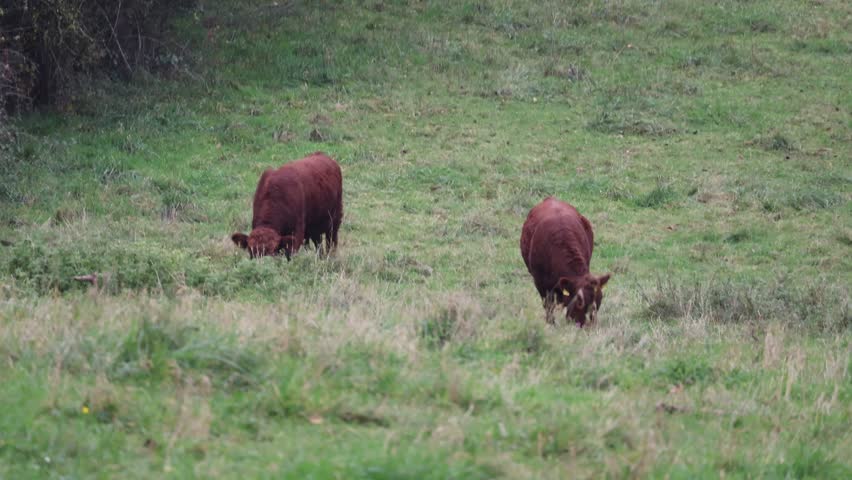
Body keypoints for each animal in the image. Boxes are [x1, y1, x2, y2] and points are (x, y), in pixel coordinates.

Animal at [520, 197, 611, 327]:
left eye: (599, 302)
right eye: (579, 303)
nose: (588, 326)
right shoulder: (541, 284)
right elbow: (548, 306)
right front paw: (550, 323)